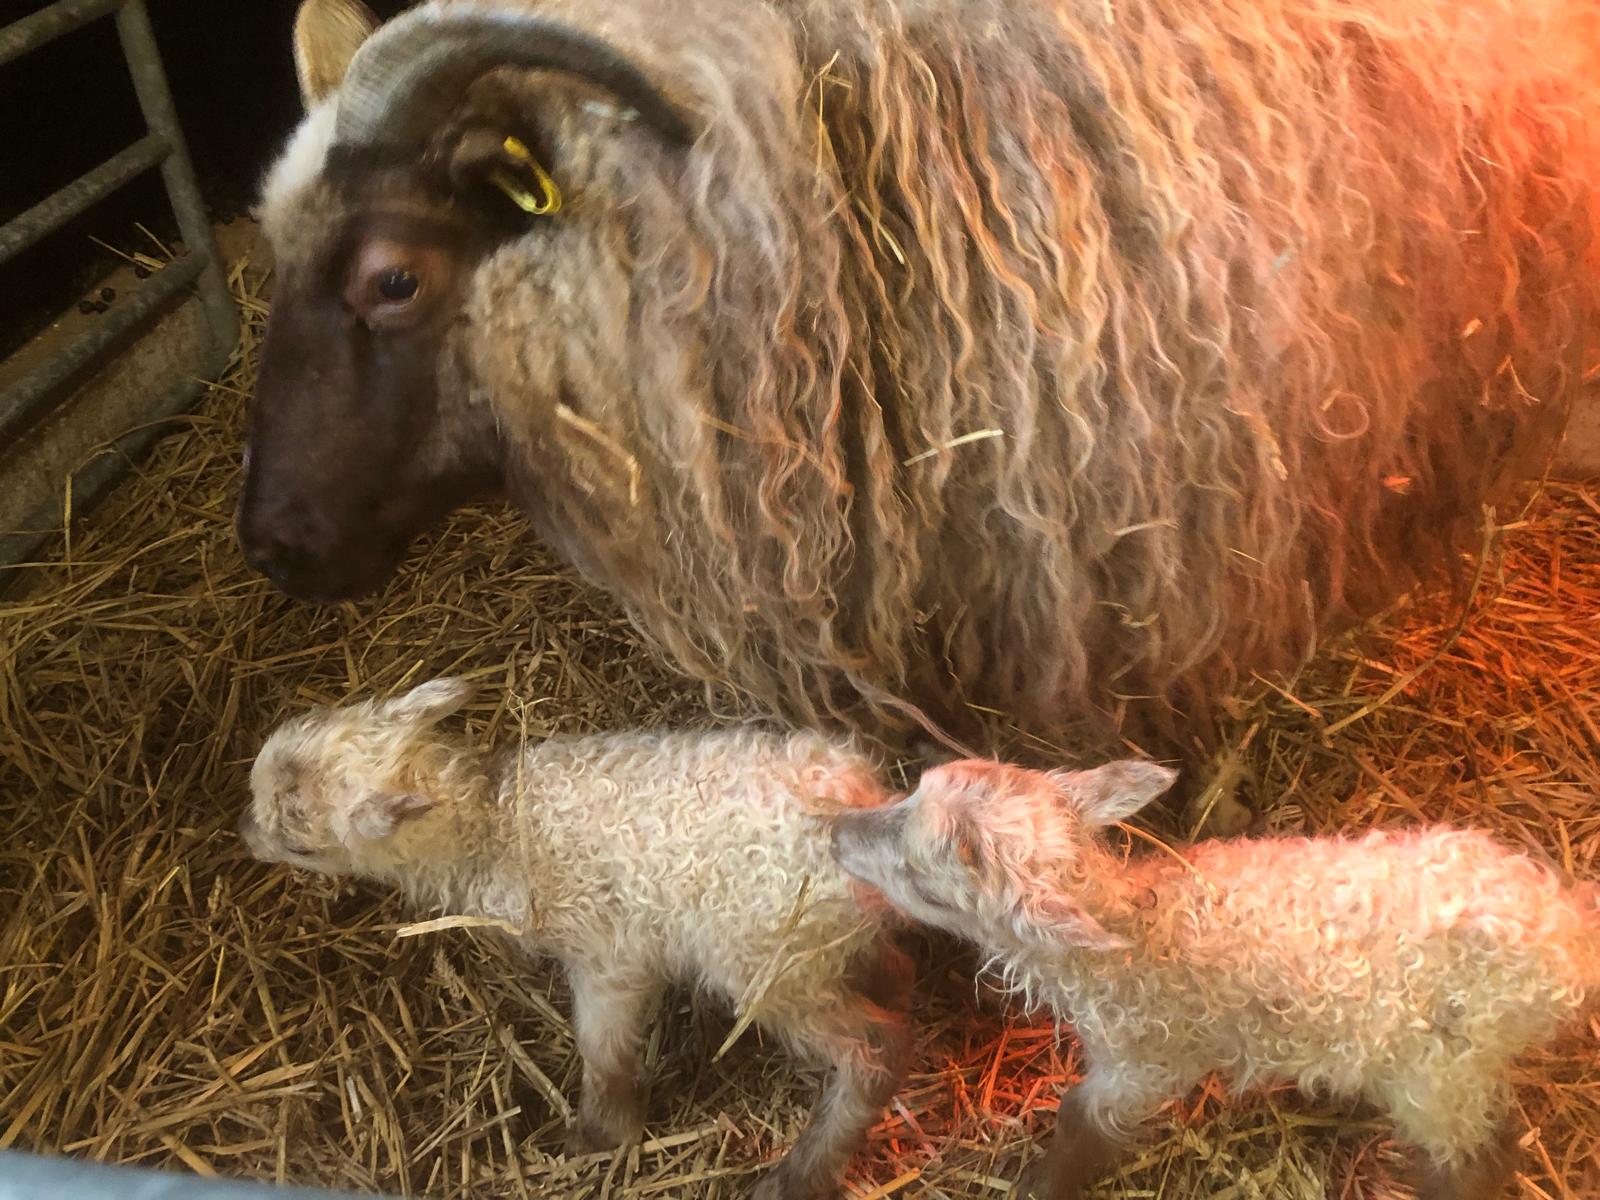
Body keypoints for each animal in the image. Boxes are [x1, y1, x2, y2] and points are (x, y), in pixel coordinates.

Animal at [238, 677, 912, 1200]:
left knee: (875, 1053)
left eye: (300, 843)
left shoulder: (608, 956)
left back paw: (800, 1173)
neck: (495, 822)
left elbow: (603, 1048)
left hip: (771, 963)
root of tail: (860, 798)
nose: (243, 832)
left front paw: (599, 1134)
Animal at [829, 758, 1600, 1199]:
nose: (835, 832)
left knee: (1481, 1151)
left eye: (919, 880)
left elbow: (1080, 1116)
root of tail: (1564, 935)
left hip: (1443, 1071)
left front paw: (1042, 1183)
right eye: (908, 794)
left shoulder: (1145, 1062)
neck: (1134, 930)